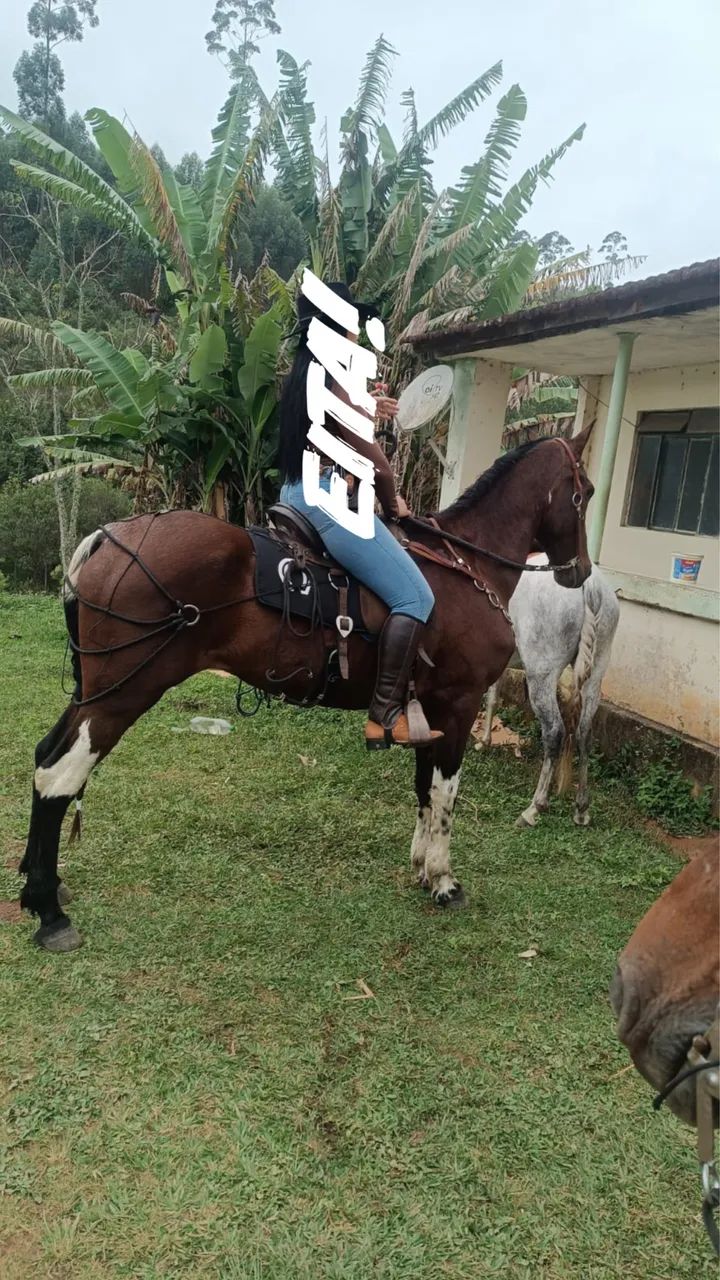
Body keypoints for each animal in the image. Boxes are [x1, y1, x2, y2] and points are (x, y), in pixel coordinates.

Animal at [20, 429, 594, 952]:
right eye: (584, 492)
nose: (580, 572)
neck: (466, 566)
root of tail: (109, 537)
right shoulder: (458, 703)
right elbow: (446, 793)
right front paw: (443, 879)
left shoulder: (427, 707)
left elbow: (423, 789)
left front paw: (419, 866)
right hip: (121, 696)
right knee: (61, 772)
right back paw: (49, 912)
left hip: (96, 693)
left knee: (46, 756)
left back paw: (37, 886)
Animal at [481, 561, 619, 828]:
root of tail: (591, 585)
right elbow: (492, 697)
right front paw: (484, 741)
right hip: (595, 674)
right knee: (584, 734)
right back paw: (581, 809)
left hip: (541, 675)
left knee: (554, 732)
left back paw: (534, 808)